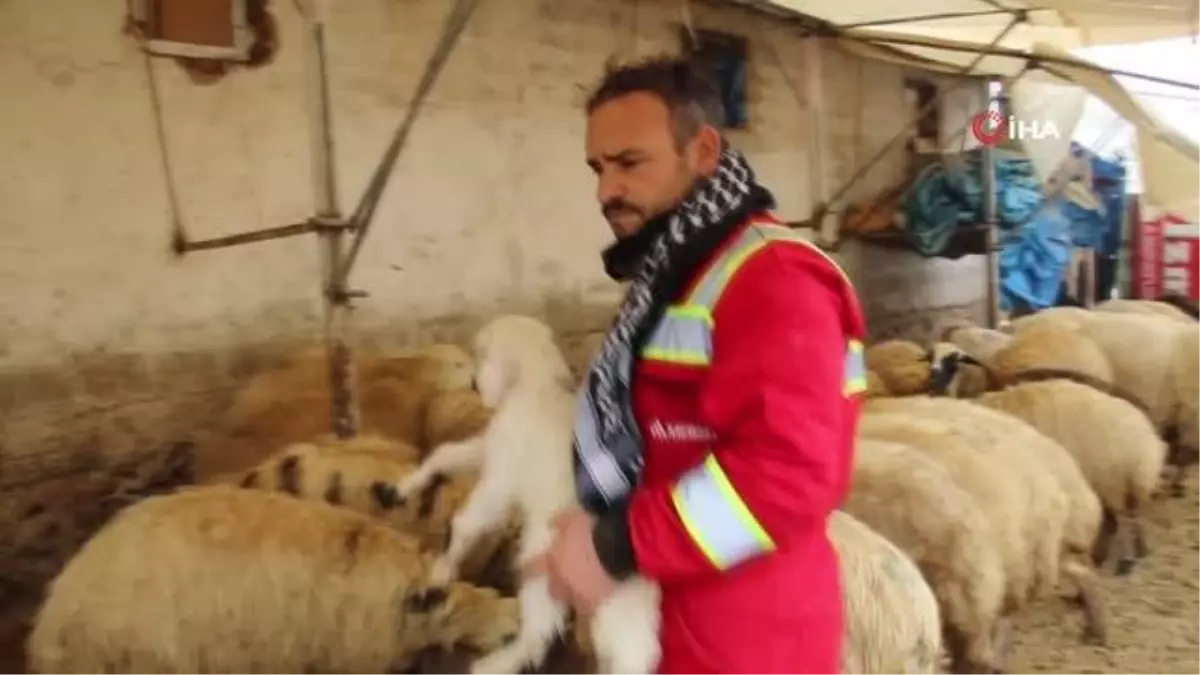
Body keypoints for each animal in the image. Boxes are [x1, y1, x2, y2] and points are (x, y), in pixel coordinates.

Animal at [391, 314, 662, 672]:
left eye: (481, 354)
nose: (474, 385)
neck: (538, 382)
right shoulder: (492, 447)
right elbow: (446, 454)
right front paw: (405, 485)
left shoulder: (502, 476)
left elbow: (468, 523)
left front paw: (442, 570)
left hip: (546, 564)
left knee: (540, 634)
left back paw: (490, 666)